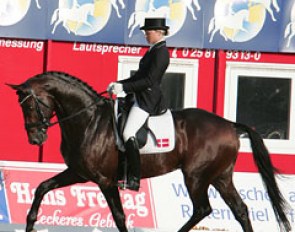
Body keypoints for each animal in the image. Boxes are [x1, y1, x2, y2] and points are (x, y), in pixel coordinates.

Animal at [8, 71, 292, 231]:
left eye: (30, 105)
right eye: (22, 107)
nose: (35, 138)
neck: (88, 121)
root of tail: (230, 125)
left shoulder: (105, 180)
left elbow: (119, 216)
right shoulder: (78, 173)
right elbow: (42, 187)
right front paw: (30, 223)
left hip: (196, 176)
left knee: (202, 209)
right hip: (220, 176)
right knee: (240, 210)